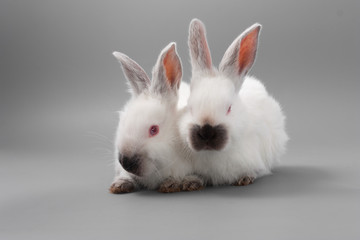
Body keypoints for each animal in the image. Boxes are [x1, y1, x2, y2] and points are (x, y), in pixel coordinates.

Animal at [109, 43, 204, 193]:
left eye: (154, 130)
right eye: (123, 122)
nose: (126, 162)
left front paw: (177, 184)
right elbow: (125, 176)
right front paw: (119, 185)